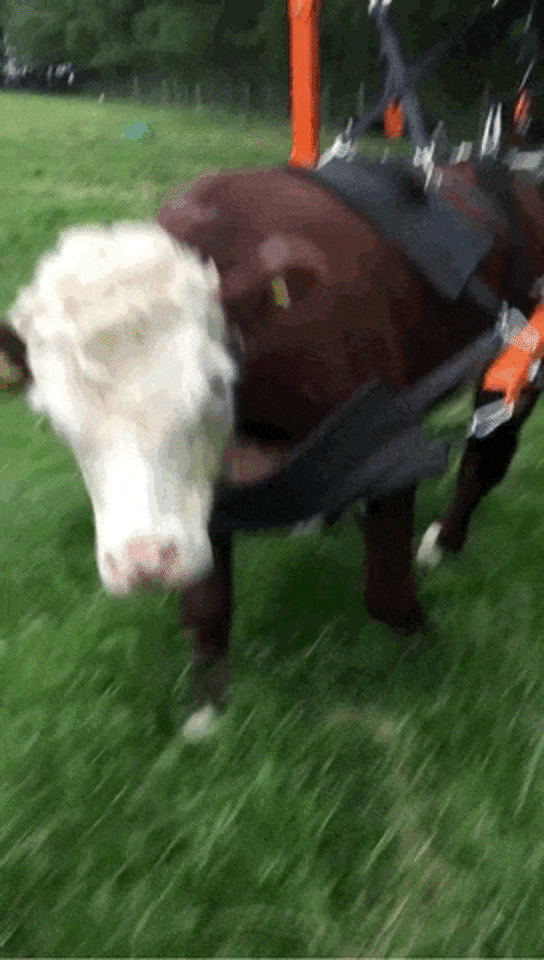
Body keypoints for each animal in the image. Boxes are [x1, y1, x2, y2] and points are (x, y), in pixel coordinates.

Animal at [2, 162, 544, 740]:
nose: (144, 564)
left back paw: (444, 540)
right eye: (51, 418)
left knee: (486, 458)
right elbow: (206, 605)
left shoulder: (393, 447)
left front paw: (427, 650)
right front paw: (206, 714)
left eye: (213, 386)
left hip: (517, 366)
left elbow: (387, 589)